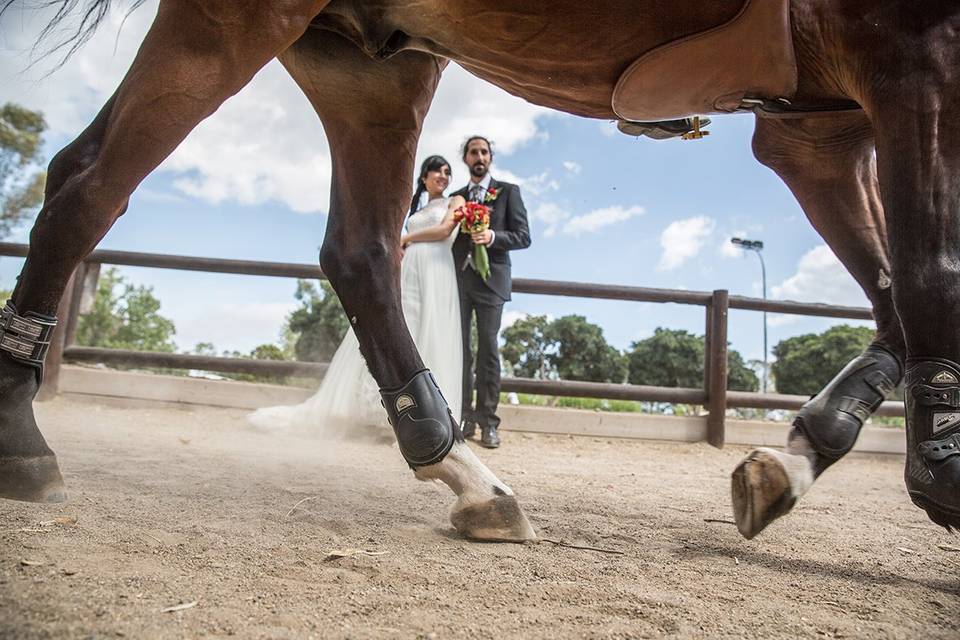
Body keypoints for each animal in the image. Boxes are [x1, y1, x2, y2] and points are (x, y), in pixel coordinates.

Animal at [0, 0, 956, 540]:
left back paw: (462, 470)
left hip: (369, 62)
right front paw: (937, 477)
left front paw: (804, 454)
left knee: (359, 250)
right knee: (88, 180)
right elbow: (930, 276)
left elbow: (899, 302)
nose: (463, 198)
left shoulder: (819, 130)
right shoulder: (912, 60)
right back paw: (20, 435)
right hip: (240, 21)